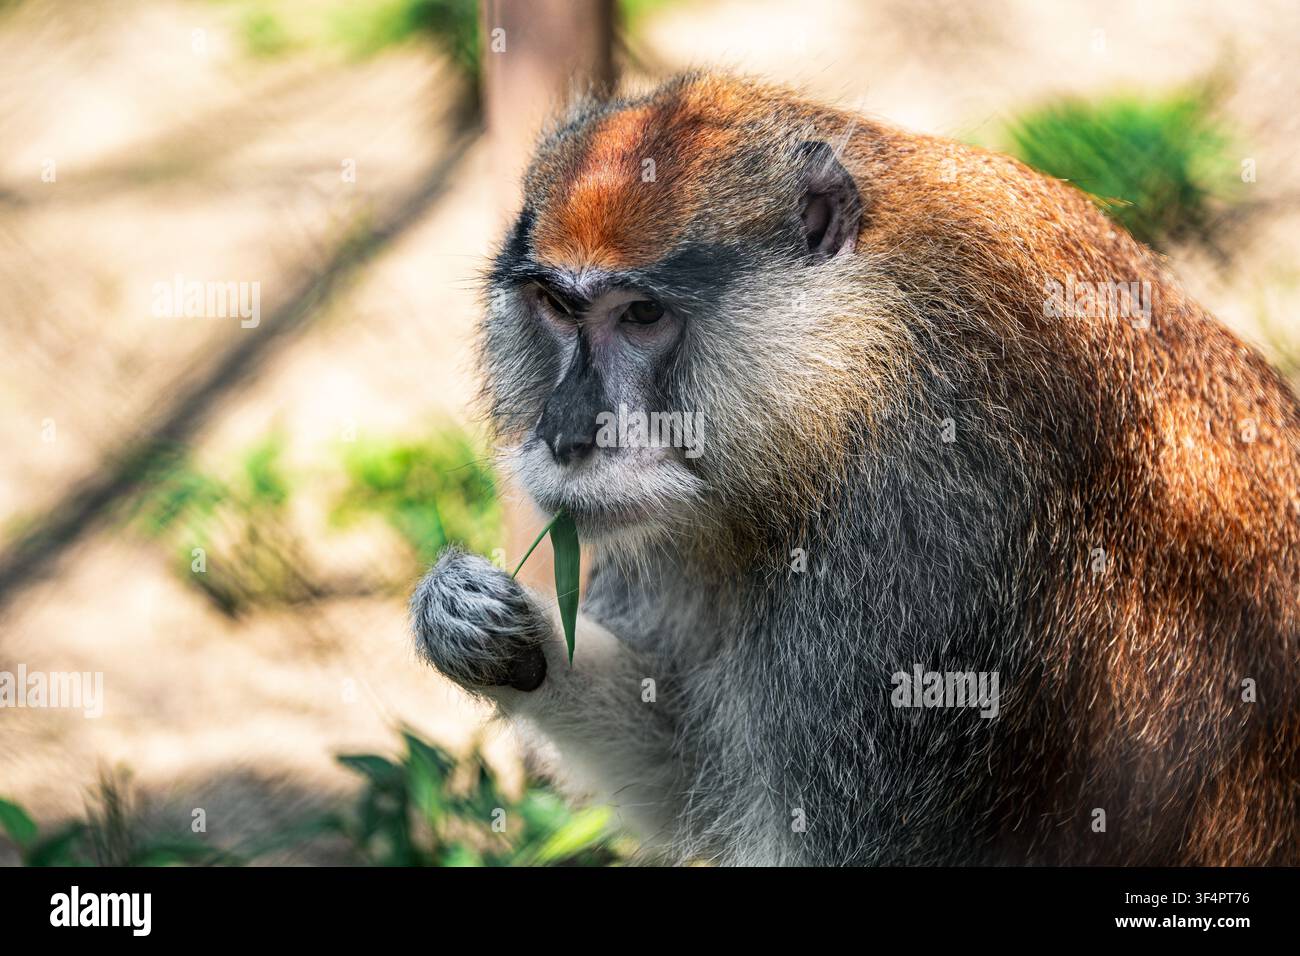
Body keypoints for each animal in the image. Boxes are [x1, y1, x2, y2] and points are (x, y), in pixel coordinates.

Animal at [411, 72, 1300, 865]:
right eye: (558, 308)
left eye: (642, 315)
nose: (565, 432)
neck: (852, 361)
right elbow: (687, 763)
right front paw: (476, 623)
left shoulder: (924, 538)